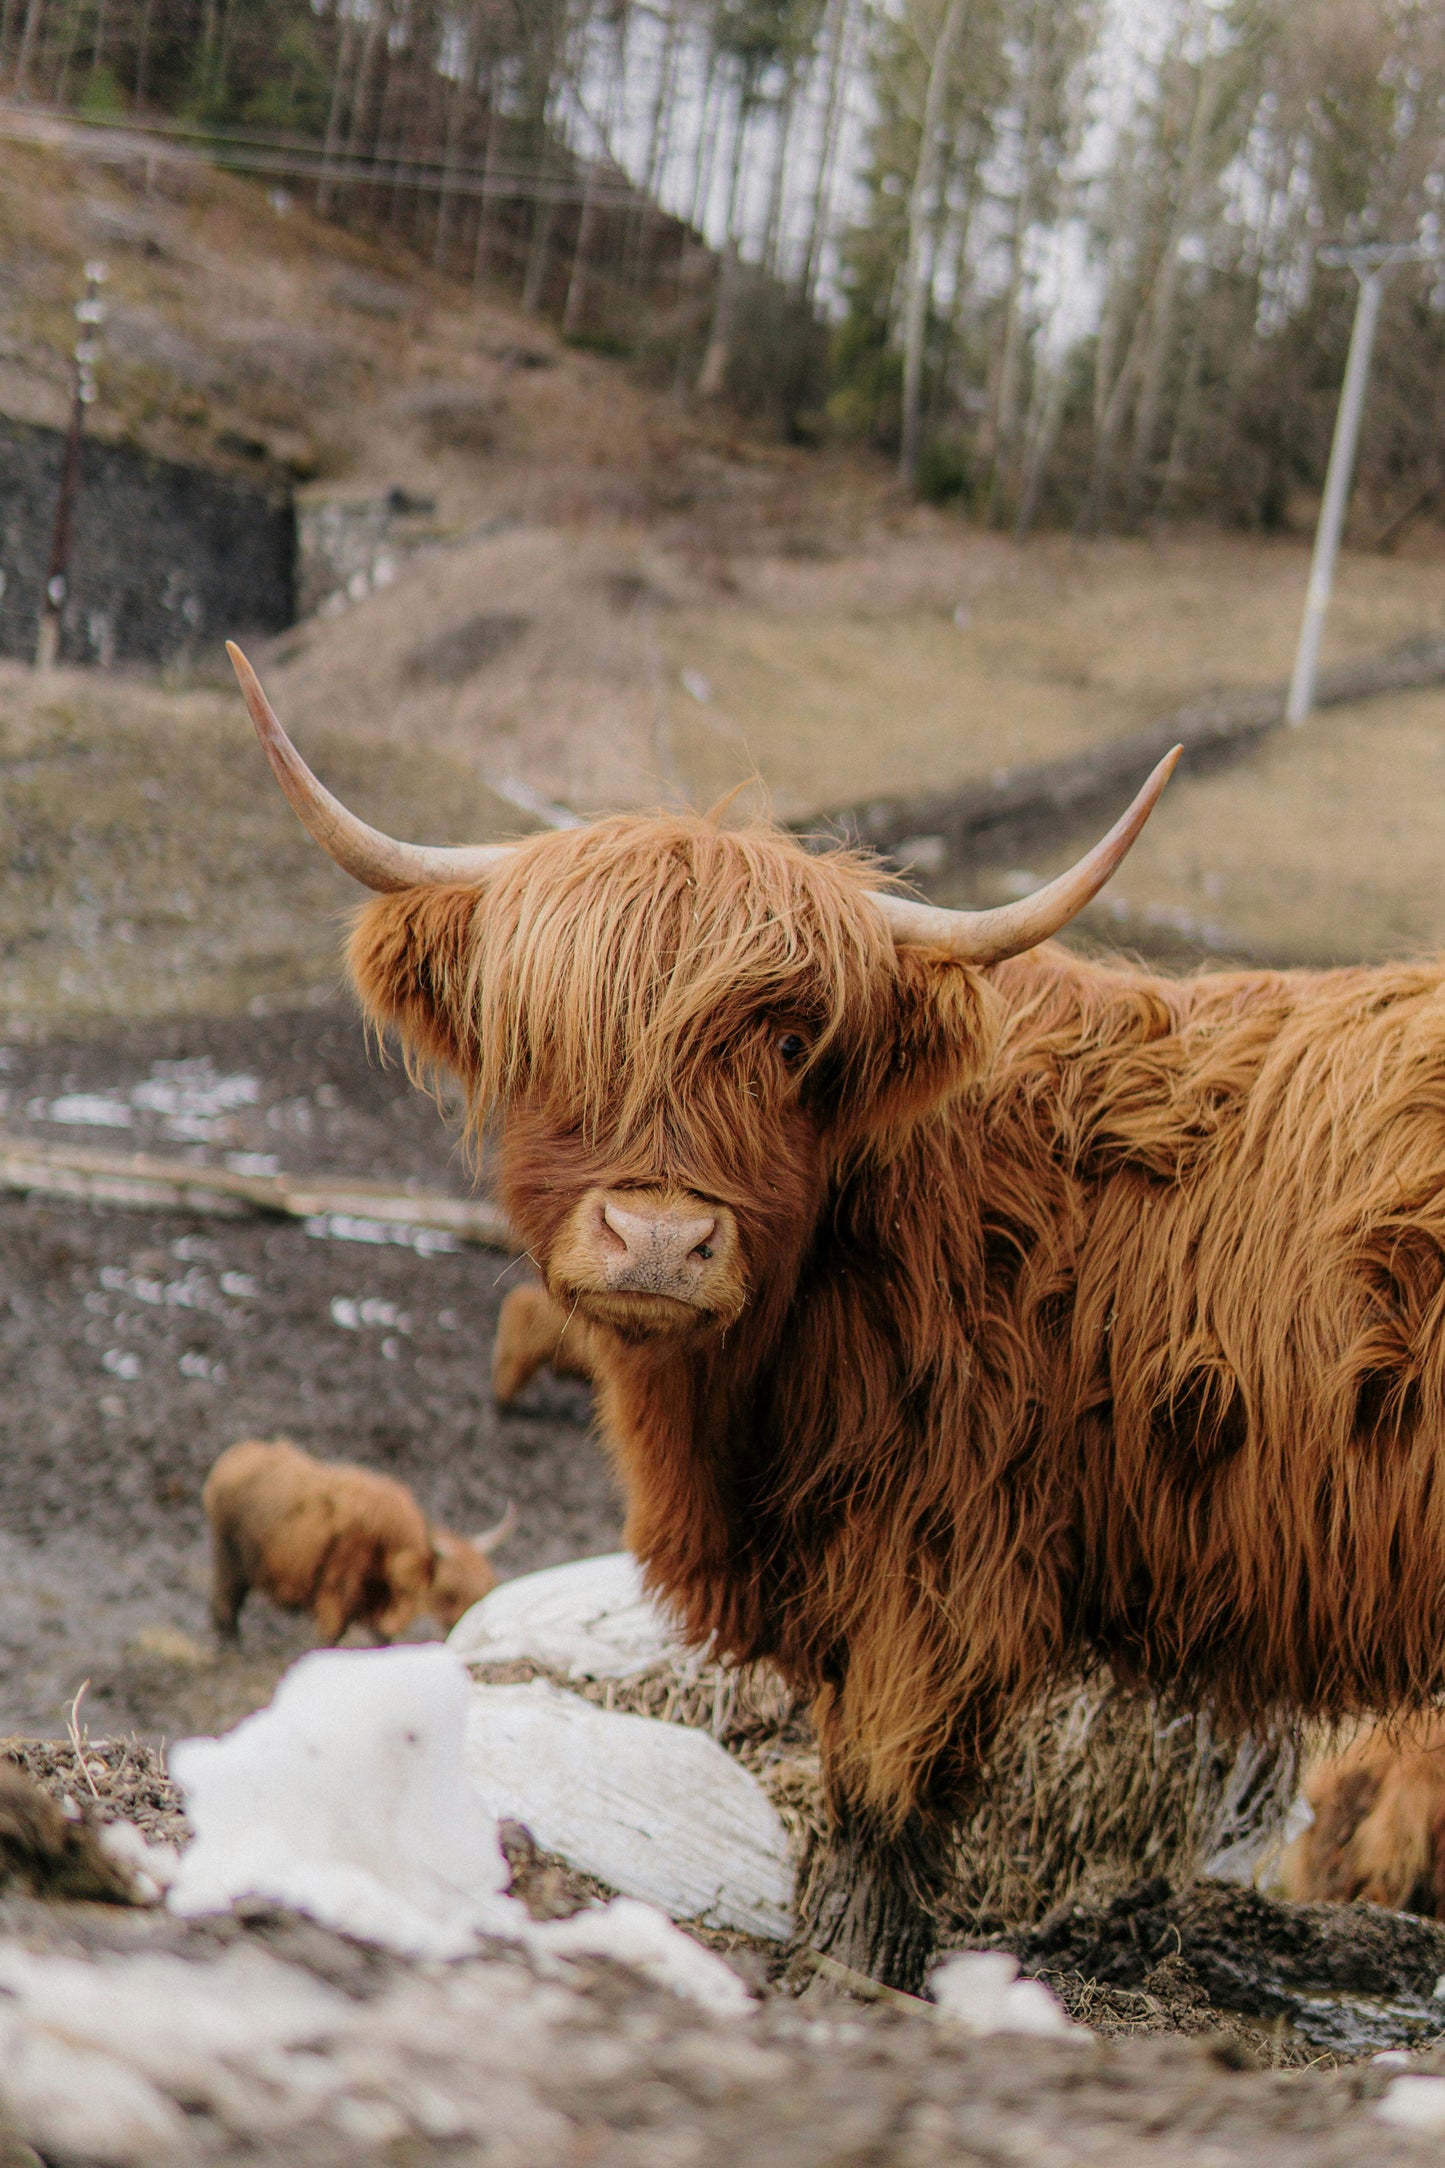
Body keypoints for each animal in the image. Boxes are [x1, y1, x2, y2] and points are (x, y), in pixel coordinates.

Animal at [204, 1437, 513, 1644]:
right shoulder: (334, 1603)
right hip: (230, 1560)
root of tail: (235, 1455)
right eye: (451, 1593)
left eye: (484, 1589)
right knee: (224, 1606)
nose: (470, 1627)